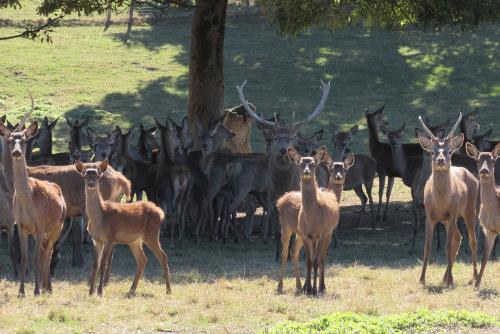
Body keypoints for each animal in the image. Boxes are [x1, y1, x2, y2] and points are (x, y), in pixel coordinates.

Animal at [0, 121, 66, 296]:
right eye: (10, 140)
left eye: (23, 140)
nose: (16, 152)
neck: (28, 200)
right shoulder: (21, 226)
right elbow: (24, 258)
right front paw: (21, 291)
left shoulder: (40, 224)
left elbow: (35, 258)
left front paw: (35, 290)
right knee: (45, 250)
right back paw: (45, 285)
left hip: (58, 224)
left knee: (49, 251)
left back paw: (47, 287)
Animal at [75, 160, 171, 296]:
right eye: (85, 176)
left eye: (98, 176)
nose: (91, 184)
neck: (100, 218)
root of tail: (160, 212)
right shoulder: (97, 240)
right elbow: (95, 264)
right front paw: (90, 292)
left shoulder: (110, 237)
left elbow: (103, 264)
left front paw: (100, 291)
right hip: (134, 241)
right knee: (142, 259)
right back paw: (131, 290)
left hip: (152, 234)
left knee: (163, 256)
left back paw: (168, 290)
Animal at [276, 151, 354, 292]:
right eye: (332, 169)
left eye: (344, 169)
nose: (338, 177)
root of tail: (280, 200)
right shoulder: (326, 233)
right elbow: (318, 259)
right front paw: (318, 288)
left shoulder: (319, 234)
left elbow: (315, 259)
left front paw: (312, 287)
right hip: (285, 226)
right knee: (284, 253)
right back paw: (280, 286)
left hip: (299, 234)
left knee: (294, 251)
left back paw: (299, 286)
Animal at [416, 114, 478, 288]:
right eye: (432, 152)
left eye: (450, 151)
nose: (441, 160)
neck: (441, 202)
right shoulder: (430, 215)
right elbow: (427, 246)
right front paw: (422, 279)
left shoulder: (452, 213)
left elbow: (447, 246)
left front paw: (451, 280)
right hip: (447, 219)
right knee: (458, 238)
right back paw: (445, 277)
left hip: (469, 209)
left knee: (472, 240)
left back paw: (473, 277)